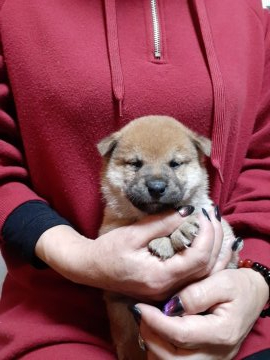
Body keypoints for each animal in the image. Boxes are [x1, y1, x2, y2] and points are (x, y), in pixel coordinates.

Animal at [97, 115, 243, 360]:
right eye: (136, 163)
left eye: (174, 163)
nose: (156, 187)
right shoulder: (111, 229)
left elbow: (193, 213)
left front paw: (179, 231)